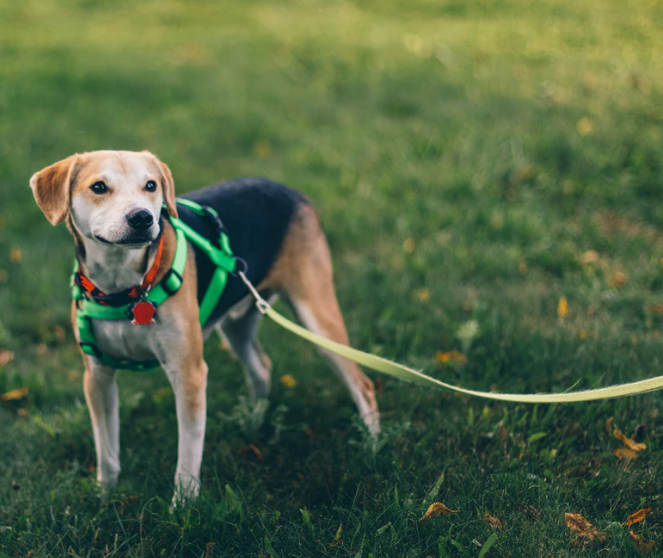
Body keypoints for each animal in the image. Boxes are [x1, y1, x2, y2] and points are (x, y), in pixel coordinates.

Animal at [29, 151, 378, 506]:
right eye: (99, 187)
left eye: (151, 185)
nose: (142, 218)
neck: (125, 288)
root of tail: (290, 191)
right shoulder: (97, 376)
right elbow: (106, 448)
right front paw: (104, 496)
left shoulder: (189, 373)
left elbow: (188, 451)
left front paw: (183, 506)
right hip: (237, 325)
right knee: (262, 367)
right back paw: (254, 420)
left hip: (317, 316)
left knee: (363, 384)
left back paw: (371, 446)